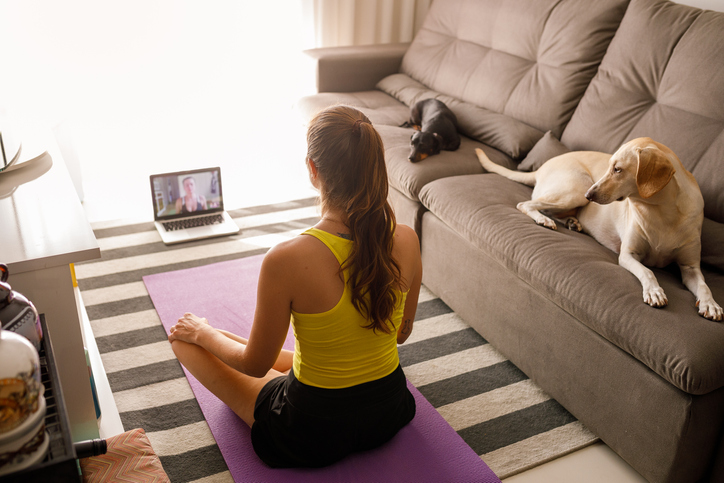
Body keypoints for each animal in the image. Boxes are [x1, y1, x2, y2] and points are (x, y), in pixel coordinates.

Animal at [478, 138, 720, 322]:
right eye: (609, 167)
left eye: (618, 169)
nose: (589, 196)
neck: (661, 211)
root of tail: (542, 167)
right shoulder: (628, 255)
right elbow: (647, 271)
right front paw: (654, 291)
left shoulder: (690, 267)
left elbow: (704, 286)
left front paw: (711, 305)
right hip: (574, 189)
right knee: (526, 204)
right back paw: (544, 220)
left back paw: (572, 222)